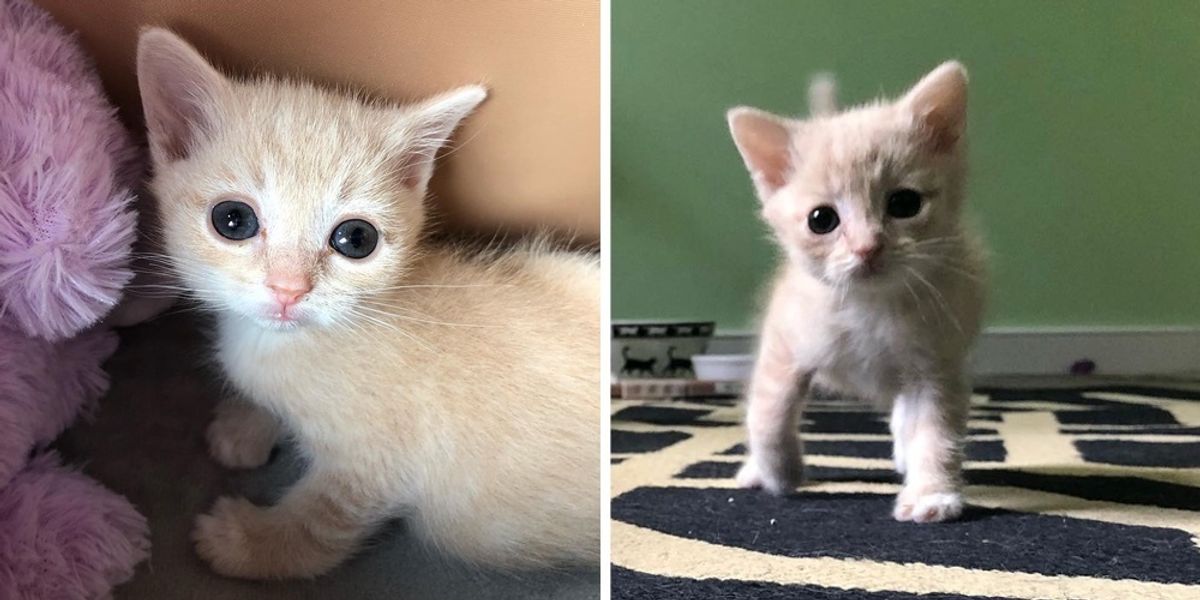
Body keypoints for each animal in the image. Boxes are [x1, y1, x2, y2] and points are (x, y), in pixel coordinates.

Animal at [137, 29, 600, 580]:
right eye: (233, 220)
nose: (289, 288)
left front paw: (245, 543)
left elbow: (318, 522)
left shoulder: (377, 467)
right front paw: (245, 425)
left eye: (356, 239)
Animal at [724, 63, 988, 523]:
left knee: (904, 410)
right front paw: (779, 472)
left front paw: (932, 493)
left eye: (904, 203)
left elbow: (936, 428)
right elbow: (769, 410)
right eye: (821, 219)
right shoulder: (784, 341)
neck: (870, 306)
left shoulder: (939, 362)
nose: (868, 247)